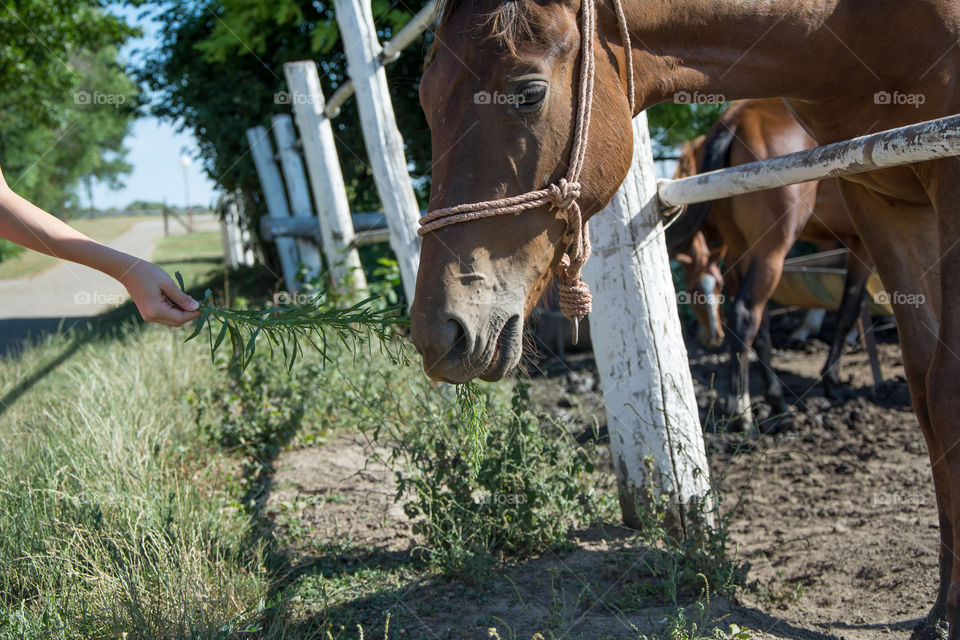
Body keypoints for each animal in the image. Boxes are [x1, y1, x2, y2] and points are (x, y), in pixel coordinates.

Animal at [668, 99, 874, 427]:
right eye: (691, 292)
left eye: (708, 290)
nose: (712, 336)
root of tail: (735, 118)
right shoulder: (860, 245)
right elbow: (846, 311)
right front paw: (832, 381)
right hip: (771, 251)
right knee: (746, 314)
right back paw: (741, 410)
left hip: (748, 249)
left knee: (758, 323)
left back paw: (776, 400)